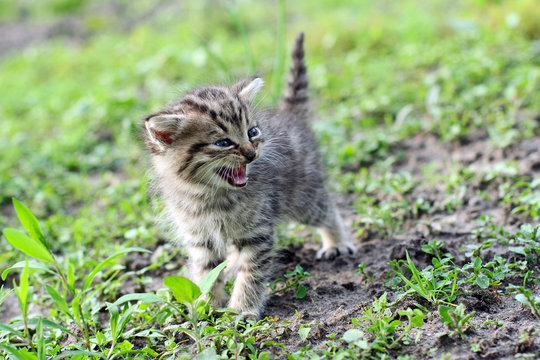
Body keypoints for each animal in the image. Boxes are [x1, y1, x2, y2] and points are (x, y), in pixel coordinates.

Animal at [142, 32, 354, 316]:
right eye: (223, 143)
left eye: (252, 132)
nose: (251, 153)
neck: (211, 196)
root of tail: (291, 115)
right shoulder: (199, 238)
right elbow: (206, 272)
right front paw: (208, 306)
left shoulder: (256, 232)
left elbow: (251, 272)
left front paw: (241, 309)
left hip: (303, 196)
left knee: (327, 209)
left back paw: (335, 244)